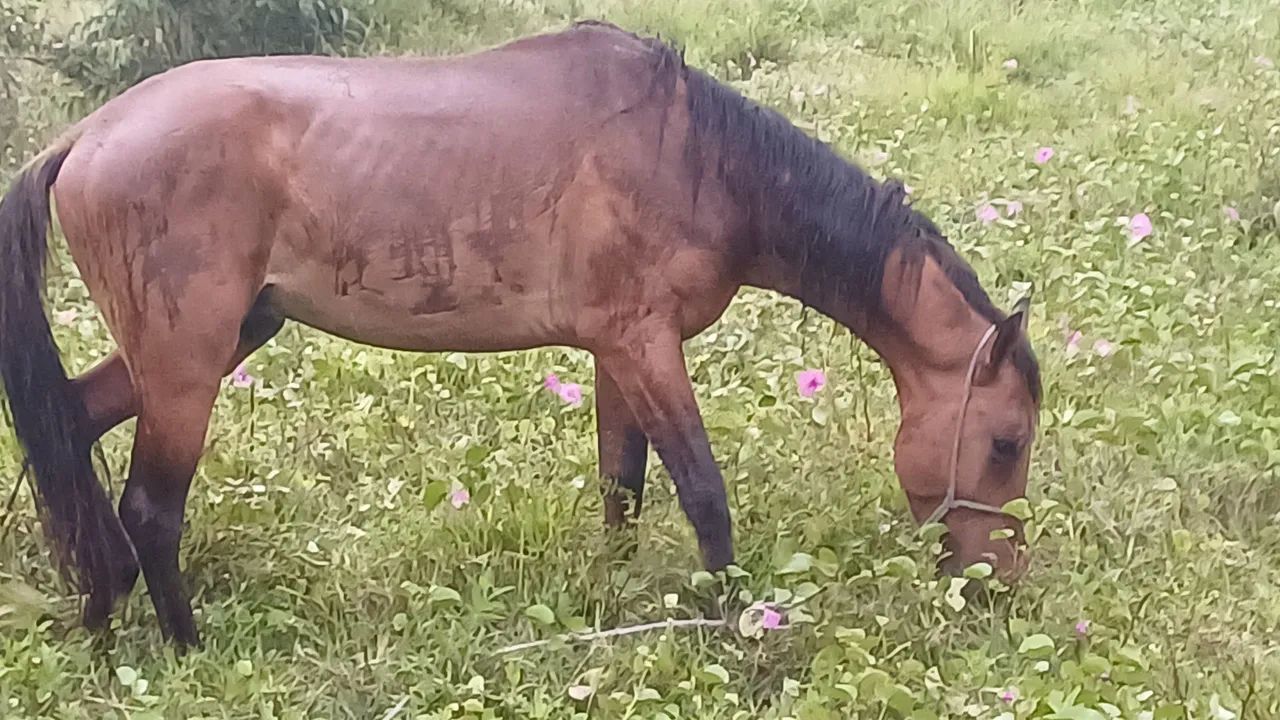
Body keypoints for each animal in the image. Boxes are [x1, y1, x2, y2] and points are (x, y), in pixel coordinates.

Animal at [0, 21, 1041, 646]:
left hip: (215, 340)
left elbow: (623, 485)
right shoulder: (647, 346)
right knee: (148, 509)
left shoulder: (618, 352)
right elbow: (704, 495)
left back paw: (102, 613)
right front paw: (732, 624)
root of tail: (87, 135)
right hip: (189, 364)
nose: (999, 581)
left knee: (73, 428)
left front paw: (617, 600)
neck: (700, 159)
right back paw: (183, 645)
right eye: (1004, 443)